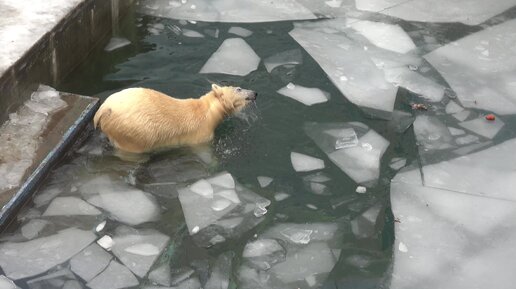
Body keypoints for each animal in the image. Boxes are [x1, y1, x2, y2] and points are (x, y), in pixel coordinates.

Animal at [93, 83, 258, 153]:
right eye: (239, 89)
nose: (255, 93)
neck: (208, 111)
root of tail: (103, 109)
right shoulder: (200, 137)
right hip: (132, 132)